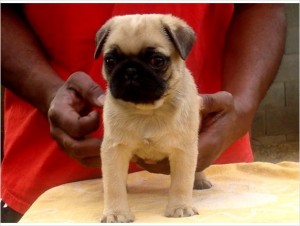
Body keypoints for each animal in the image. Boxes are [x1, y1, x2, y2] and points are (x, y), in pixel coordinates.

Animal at [94, 13, 211, 222]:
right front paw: (116, 212)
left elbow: (182, 182)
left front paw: (180, 207)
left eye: (157, 60)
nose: (130, 71)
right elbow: (113, 184)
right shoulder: (114, 150)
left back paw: (200, 179)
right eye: (110, 61)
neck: (147, 110)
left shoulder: (184, 150)